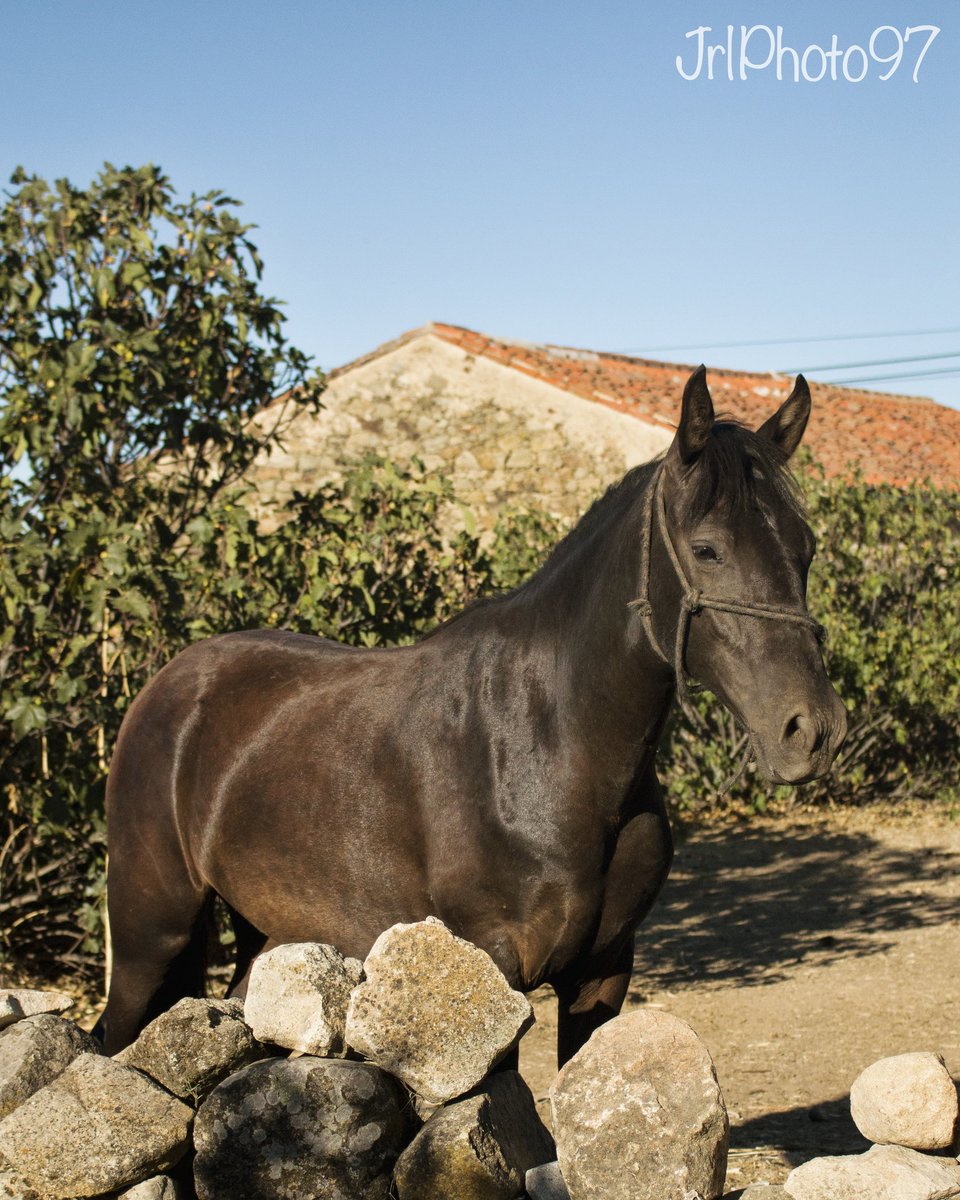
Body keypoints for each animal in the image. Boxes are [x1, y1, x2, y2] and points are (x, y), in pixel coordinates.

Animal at [99, 365, 847, 1060]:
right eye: (706, 549)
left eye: (806, 548)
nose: (811, 731)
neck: (546, 746)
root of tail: (165, 686)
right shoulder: (492, 968)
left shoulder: (603, 971)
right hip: (150, 935)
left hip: (266, 929)